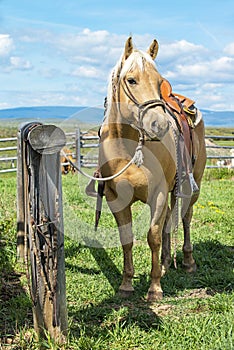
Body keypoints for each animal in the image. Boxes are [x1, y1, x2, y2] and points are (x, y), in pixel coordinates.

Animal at [98, 37, 206, 300]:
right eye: (131, 79)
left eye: (159, 81)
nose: (160, 124)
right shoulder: (115, 198)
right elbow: (127, 239)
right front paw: (126, 284)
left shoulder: (157, 194)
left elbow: (153, 236)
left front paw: (155, 287)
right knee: (169, 219)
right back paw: (166, 262)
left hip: (191, 185)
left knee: (185, 218)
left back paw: (187, 261)